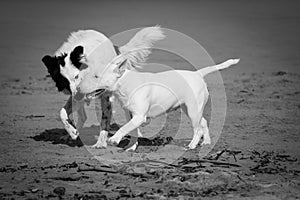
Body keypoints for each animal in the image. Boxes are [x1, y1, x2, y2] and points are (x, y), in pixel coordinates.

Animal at [77, 51, 239, 148]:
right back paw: (206, 142)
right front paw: (131, 148)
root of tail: (197, 74)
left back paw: (192, 145)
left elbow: (124, 128)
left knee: (197, 129)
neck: (125, 83)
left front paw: (114, 139)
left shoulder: (139, 117)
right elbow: (132, 130)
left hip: (193, 110)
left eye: (96, 76)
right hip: (189, 108)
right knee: (203, 122)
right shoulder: (130, 115)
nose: (78, 87)